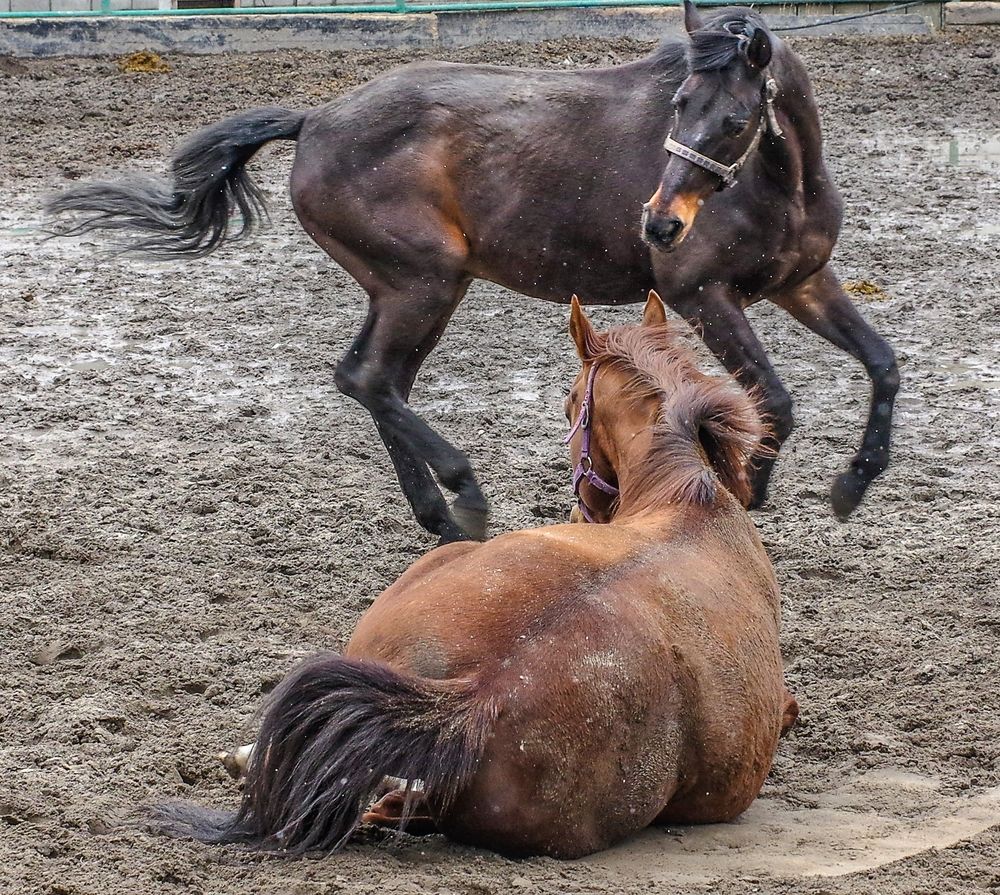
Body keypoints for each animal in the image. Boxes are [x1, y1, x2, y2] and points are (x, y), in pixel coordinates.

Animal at [47, 2, 898, 543]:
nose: (660, 224)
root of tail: (315, 120)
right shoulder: (702, 295)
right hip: (424, 280)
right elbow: (775, 400)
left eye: (733, 118)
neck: (777, 184)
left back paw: (441, 516)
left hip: (409, 288)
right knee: (371, 379)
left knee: (374, 380)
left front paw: (853, 485)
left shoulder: (802, 282)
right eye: (679, 101)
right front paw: (750, 490)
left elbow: (883, 364)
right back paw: (467, 495)